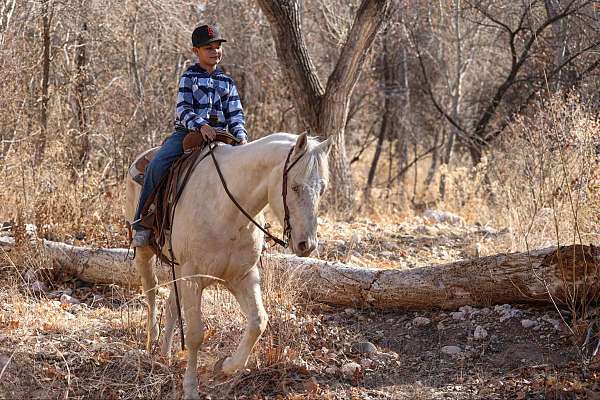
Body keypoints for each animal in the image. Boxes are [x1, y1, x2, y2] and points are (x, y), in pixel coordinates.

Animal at [125, 133, 332, 398]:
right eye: (295, 186)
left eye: (322, 189)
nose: (307, 245)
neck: (227, 208)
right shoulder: (193, 278)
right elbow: (195, 335)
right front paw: (190, 388)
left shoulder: (242, 277)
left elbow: (258, 322)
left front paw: (226, 366)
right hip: (145, 253)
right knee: (150, 291)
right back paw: (151, 342)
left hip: (178, 270)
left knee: (171, 306)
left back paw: (165, 355)